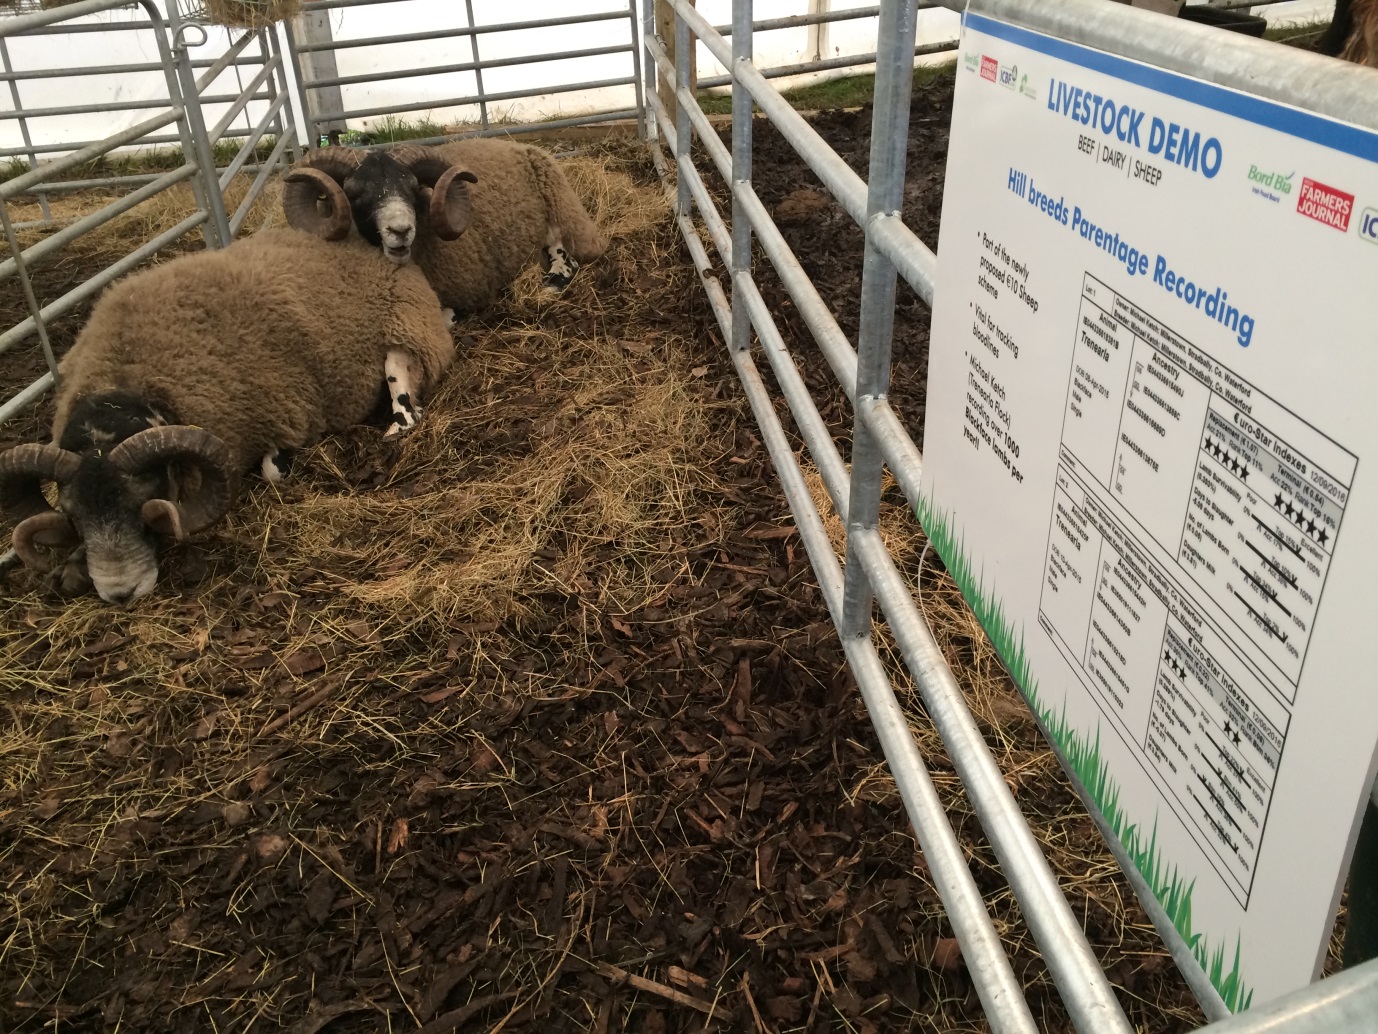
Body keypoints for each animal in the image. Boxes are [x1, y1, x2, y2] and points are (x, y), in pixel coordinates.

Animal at [0, 223, 457, 603]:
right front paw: (73, 566)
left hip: (406, 334)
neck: (128, 376)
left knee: (403, 395)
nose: (120, 594)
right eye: (72, 515)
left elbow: (273, 469)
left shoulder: (283, 417)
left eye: (147, 499)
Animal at [276, 138, 606, 315]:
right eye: (354, 193)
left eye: (413, 188)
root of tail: (513, 144)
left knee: (568, 253)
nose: (400, 231)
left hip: (562, 210)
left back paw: (551, 282)